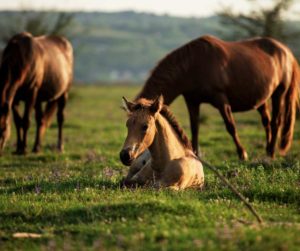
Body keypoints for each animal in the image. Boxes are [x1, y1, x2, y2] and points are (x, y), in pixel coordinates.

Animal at [137, 34, 300, 159]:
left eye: (145, 127)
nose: (131, 157)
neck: (193, 64)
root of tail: (287, 52)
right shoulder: (192, 101)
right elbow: (195, 128)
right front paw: (195, 154)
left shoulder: (221, 100)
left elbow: (231, 127)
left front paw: (242, 154)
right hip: (262, 100)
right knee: (266, 122)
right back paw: (267, 149)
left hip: (279, 93)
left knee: (276, 122)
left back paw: (271, 153)